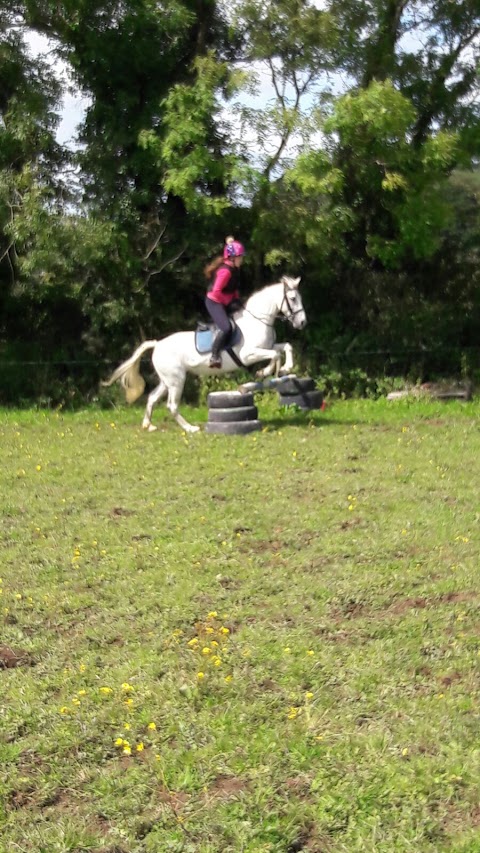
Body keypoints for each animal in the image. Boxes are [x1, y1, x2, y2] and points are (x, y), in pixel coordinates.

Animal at [104, 274, 308, 430]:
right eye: (292, 299)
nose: (302, 322)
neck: (258, 320)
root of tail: (158, 344)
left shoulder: (268, 346)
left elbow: (285, 347)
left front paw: (284, 369)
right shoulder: (248, 354)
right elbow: (275, 355)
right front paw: (266, 372)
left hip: (167, 380)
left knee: (153, 397)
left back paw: (148, 425)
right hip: (177, 380)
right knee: (172, 405)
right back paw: (190, 428)